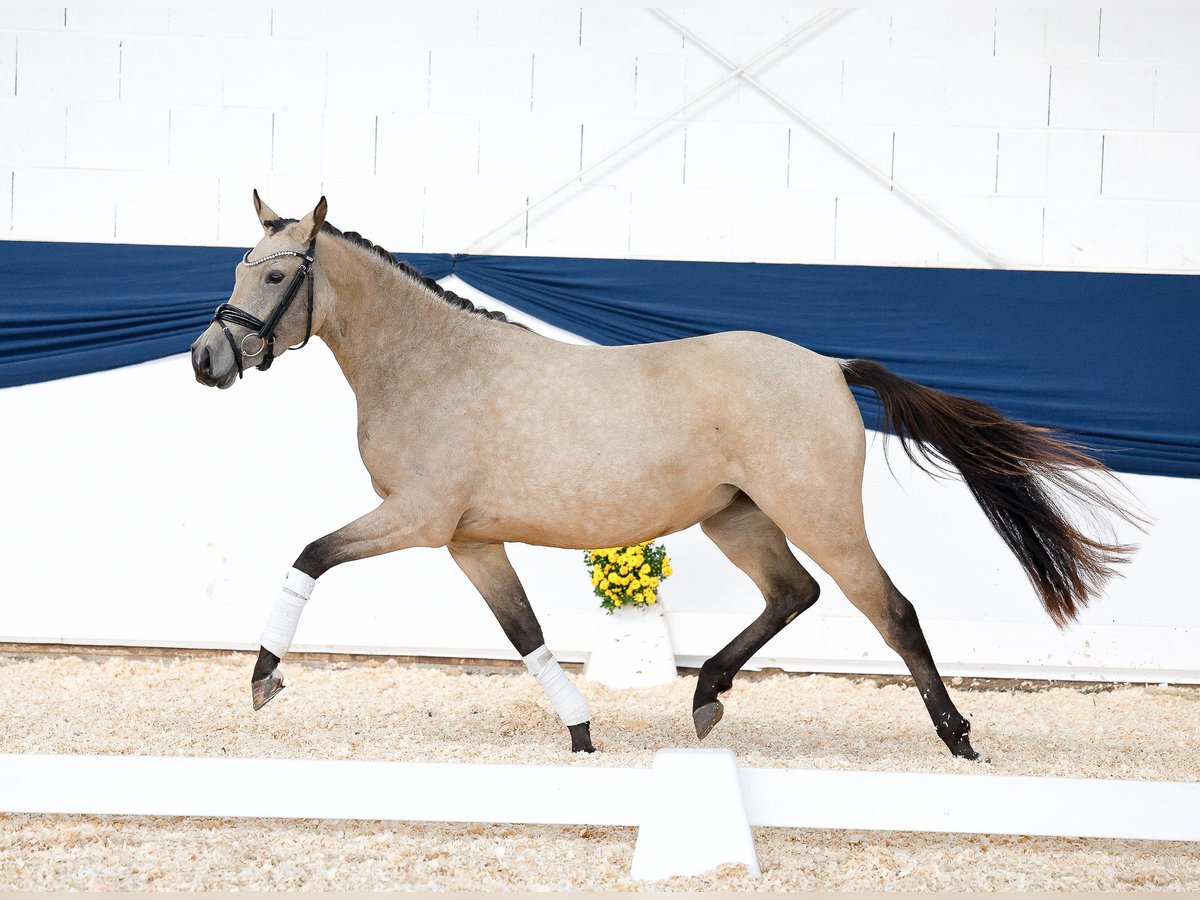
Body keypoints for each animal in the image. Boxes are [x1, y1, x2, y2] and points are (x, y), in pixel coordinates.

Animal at [189, 196, 1142, 763]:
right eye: (237, 268)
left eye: (277, 274)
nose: (206, 360)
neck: (435, 366)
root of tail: (829, 367)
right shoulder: (470, 540)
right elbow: (525, 632)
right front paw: (581, 732)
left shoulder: (417, 519)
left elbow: (310, 555)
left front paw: (263, 680)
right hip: (738, 519)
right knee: (794, 594)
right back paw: (708, 697)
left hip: (819, 516)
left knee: (892, 611)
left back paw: (959, 739)